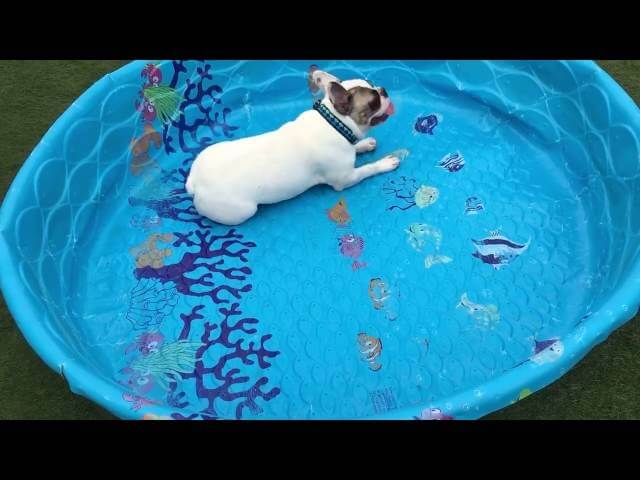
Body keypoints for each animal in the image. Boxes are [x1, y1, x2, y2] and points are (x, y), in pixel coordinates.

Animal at [185, 66, 400, 226]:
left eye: (372, 84)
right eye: (374, 102)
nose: (383, 90)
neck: (335, 122)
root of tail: (194, 181)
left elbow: (355, 147)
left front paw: (363, 144)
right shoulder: (345, 179)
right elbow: (367, 169)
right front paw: (383, 163)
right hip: (243, 210)